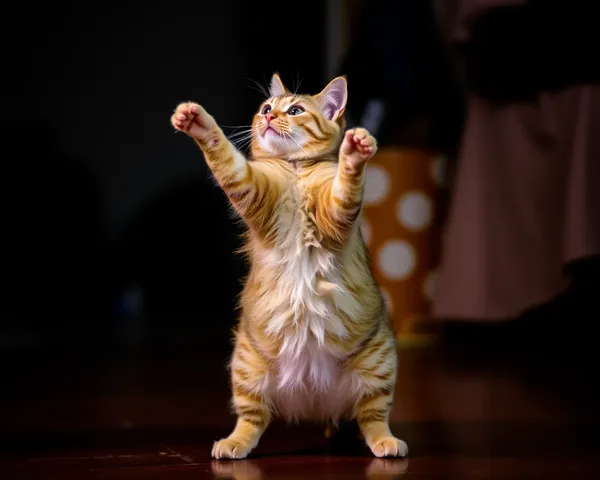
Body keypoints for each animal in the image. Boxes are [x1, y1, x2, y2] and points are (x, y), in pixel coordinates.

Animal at [171, 73, 410, 460]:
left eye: (295, 110)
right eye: (267, 107)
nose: (269, 117)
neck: (296, 169)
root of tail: (314, 400)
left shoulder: (335, 213)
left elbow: (347, 184)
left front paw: (355, 150)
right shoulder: (252, 188)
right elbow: (223, 155)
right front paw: (196, 122)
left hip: (380, 366)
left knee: (373, 418)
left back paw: (386, 442)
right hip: (246, 370)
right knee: (251, 420)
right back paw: (233, 443)